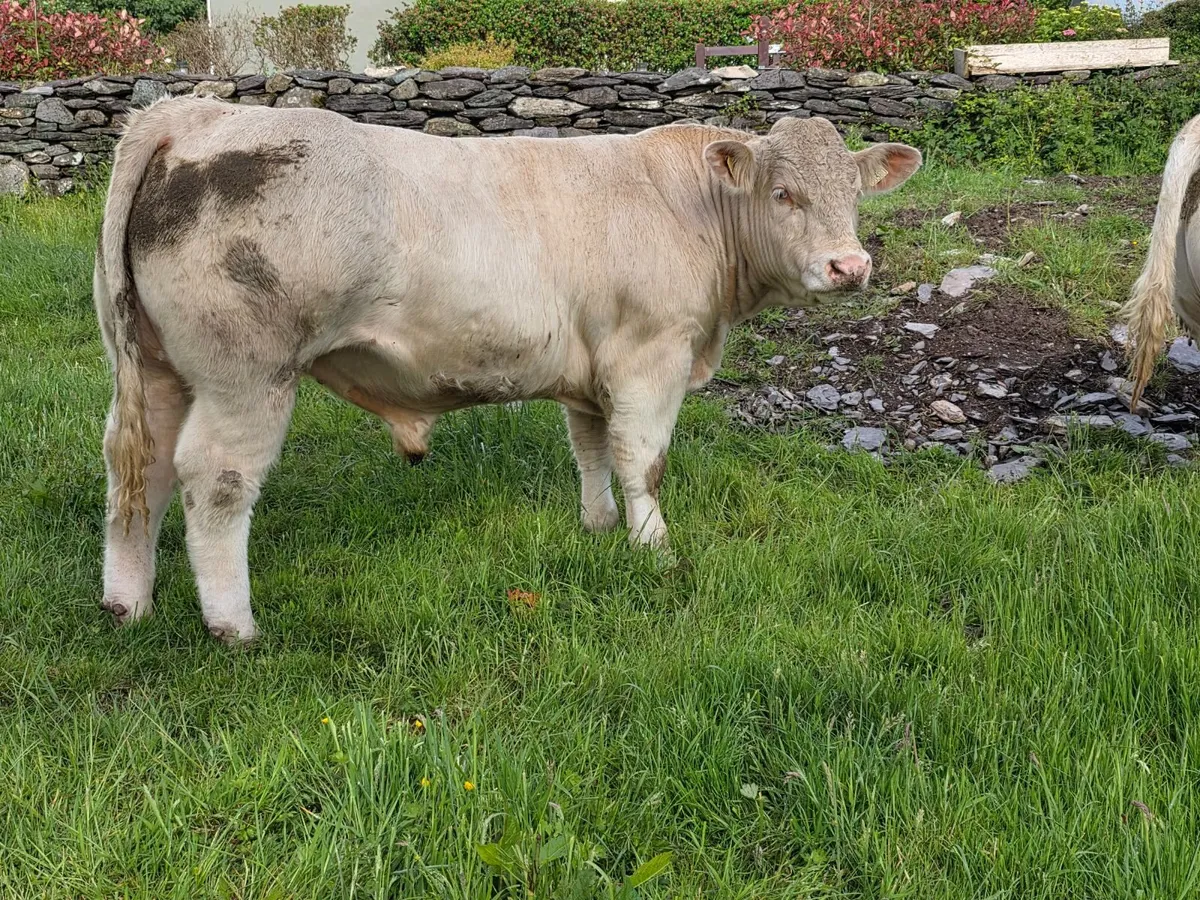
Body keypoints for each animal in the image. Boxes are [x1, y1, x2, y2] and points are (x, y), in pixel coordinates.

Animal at [95, 97, 921, 643]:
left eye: (854, 193)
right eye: (784, 192)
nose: (850, 266)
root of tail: (195, 112)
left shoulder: (591, 368)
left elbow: (592, 450)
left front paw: (598, 526)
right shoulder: (651, 353)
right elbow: (643, 459)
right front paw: (653, 548)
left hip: (158, 367)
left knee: (141, 468)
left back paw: (128, 602)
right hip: (246, 374)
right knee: (215, 479)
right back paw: (234, 624)